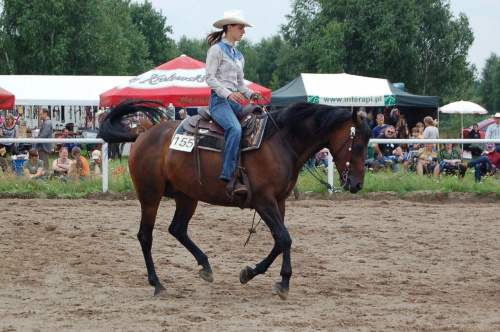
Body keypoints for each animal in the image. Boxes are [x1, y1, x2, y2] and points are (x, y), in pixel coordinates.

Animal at [98, 100, 372, 300]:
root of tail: (142, 135)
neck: (279, 142)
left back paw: (205, 267)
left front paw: (250, 272)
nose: (357, 184)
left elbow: (279, 240)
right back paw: (157, 284)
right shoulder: (264, 201)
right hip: (150, 195)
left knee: (177, 229)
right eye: (358, 146)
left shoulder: (278, 202)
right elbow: (285, 238)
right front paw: (283, 282)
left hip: (186, 196)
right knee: (146, 236)